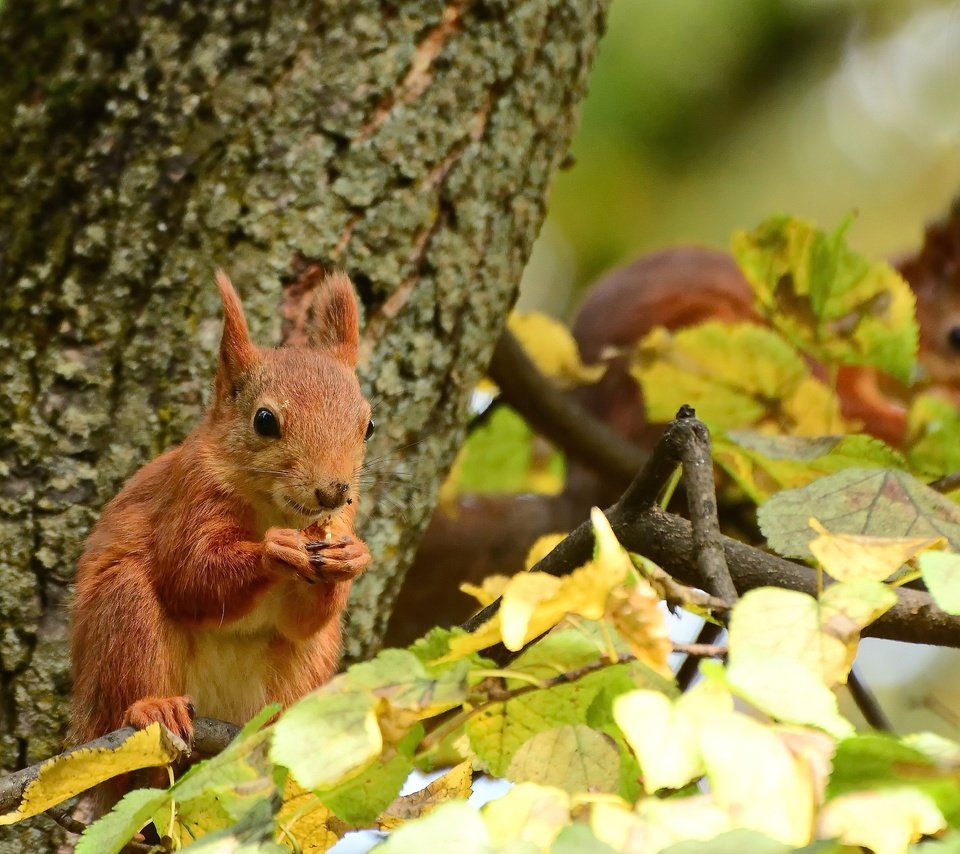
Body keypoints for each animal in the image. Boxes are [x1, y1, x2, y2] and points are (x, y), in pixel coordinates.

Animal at [67, 270, 374, 752]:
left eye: (369, 426)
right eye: (264, 420)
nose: (332, 491)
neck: (274, 508)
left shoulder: (343, 516)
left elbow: (304, 621)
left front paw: (353, 556)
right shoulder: (190, 493)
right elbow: (190, 575)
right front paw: (274, 550)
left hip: (308, 662)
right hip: (122, 616)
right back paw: (153, 707)